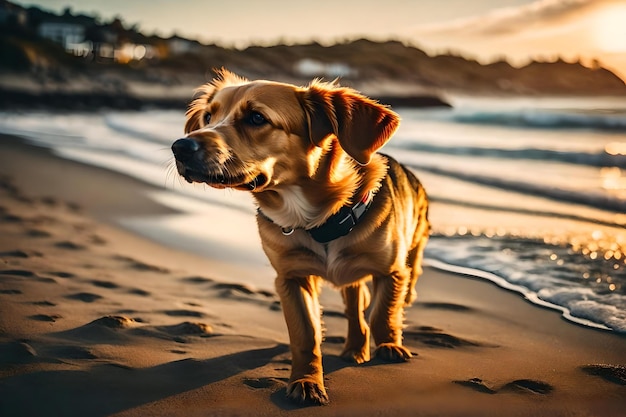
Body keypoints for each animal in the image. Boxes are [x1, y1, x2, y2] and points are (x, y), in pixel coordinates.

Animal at [169, 70, 428, 404]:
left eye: (256, 118)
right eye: (208, 117)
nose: (179, 147)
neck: (314, 219)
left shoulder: (391, 271)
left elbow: (383, 312)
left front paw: (390, 346)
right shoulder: (292, 278)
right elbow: (306, 334)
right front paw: (306, 381)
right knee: (354, 307)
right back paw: (354, 349)